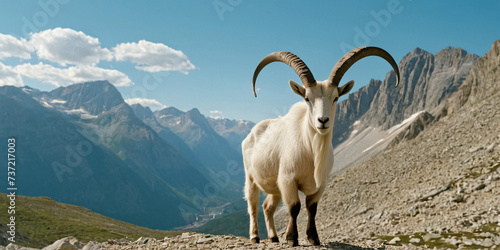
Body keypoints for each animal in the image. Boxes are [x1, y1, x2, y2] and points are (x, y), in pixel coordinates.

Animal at [240, 46, 400, 246]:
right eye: (307, 98)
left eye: (336, 97)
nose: (322, 121)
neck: (311, 151)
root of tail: (251, 133)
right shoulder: (288, 180)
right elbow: (294, 207)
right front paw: (292, 239)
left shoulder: (320, 184)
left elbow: (312, 208)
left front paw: (313, 238)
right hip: (251, 177)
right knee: (253, 204)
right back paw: (255, 236)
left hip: (275, 186)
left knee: (267, 206)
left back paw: (274, 237)